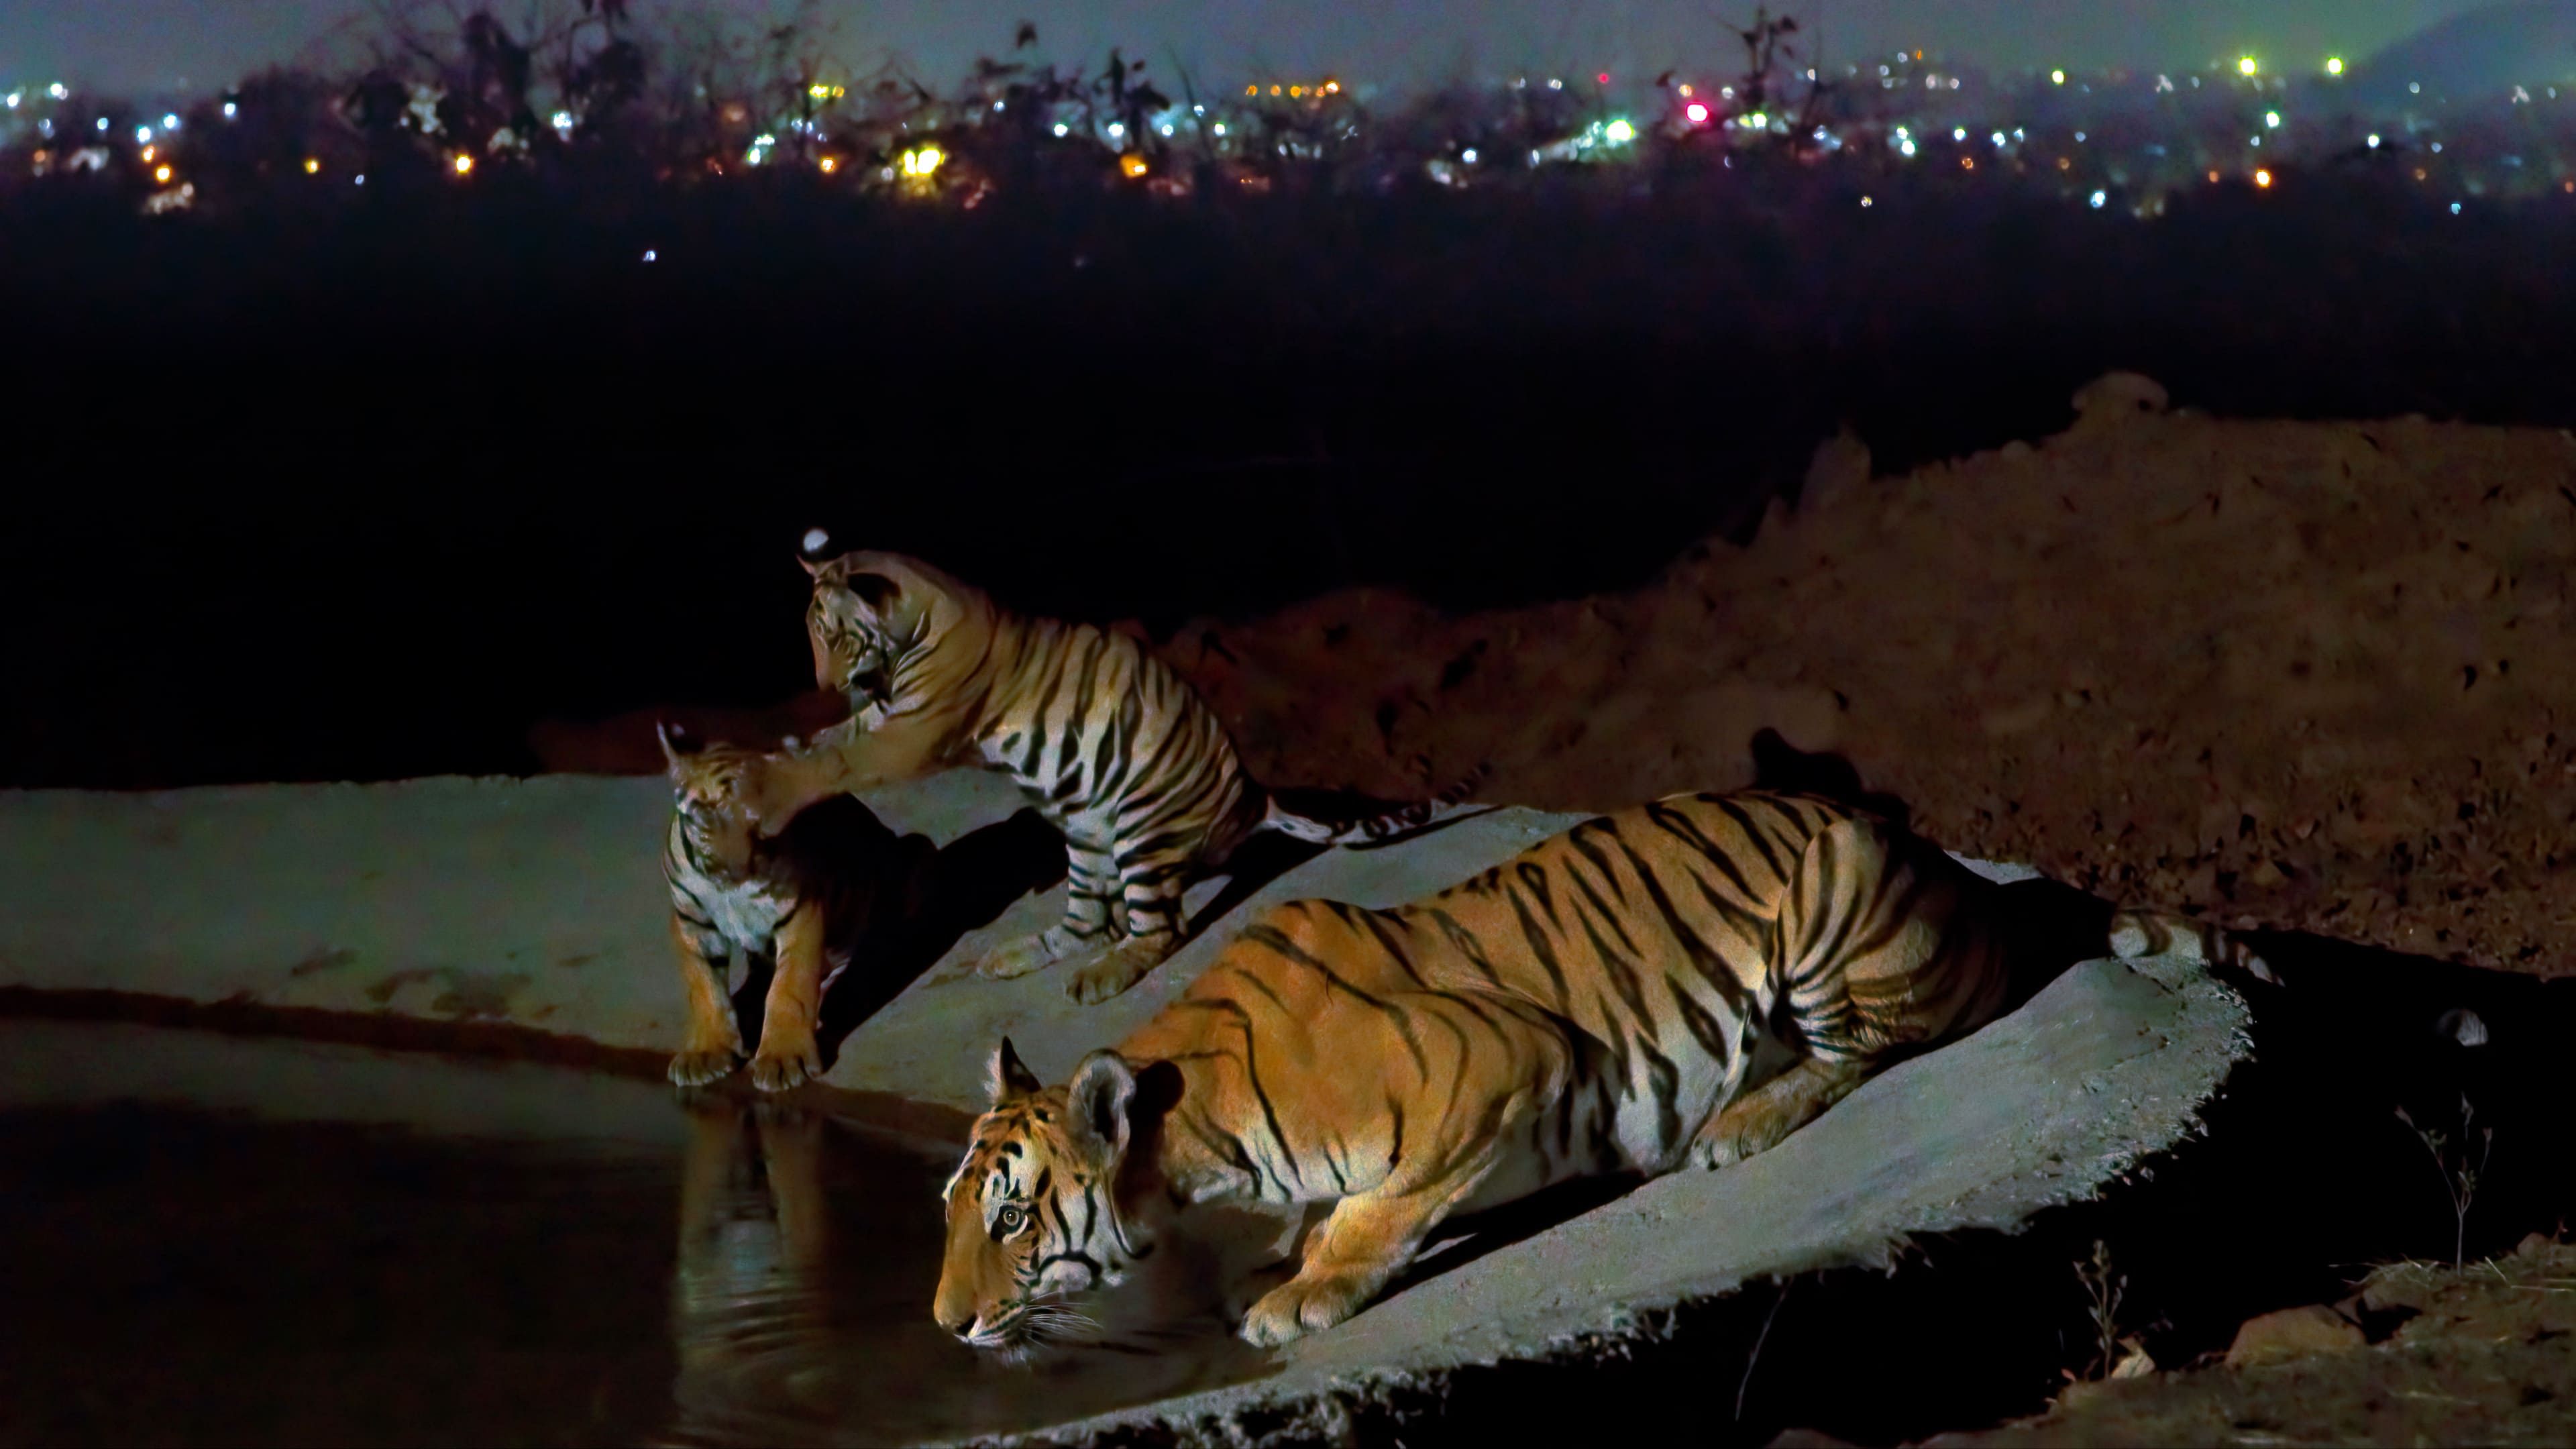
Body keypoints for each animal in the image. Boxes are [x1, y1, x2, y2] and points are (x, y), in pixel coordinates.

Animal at [659, 722, 932, 1083]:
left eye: (761, 826)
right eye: (708, 817)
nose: (735, 872)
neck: (729, 892)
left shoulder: (801, 911)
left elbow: (789, 987)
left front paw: (784, 1059)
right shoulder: (692, 923)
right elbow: (704, 988)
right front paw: (705, 1054)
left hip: (917, 850)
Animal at [726, 533, 1494, 1005]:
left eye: (833, 637)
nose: (826, 686)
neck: (918, 620)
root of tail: (1251, 794)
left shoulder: (912, 730)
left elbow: (841, 760)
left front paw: (766, 787)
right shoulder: (887, 711)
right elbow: (831, 743)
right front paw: (774, 751)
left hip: (1141, 830)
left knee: (1157, 930)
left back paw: (1107, 976)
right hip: (1087, 836)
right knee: (1086, 923)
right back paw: (1018, 956)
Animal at [927, 789, 2256, 1340]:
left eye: (1010, 1221)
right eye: (950, 1212)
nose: (947, 1323)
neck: (1192, 1143)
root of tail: (1955, 871)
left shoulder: (1492, 1062)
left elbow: (1376, 1210)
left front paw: (1302, 1292)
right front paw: (1275, 1259)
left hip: (1831, 903)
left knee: (1882, 1041)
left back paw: (1743, 1121)